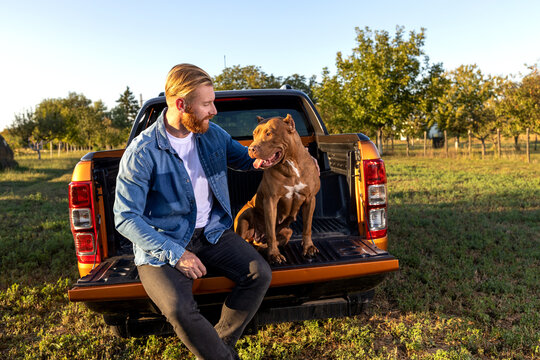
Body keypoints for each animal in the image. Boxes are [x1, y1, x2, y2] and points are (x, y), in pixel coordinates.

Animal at [233, 114, 318, 262]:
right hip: (245, 214)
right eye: (254, 134)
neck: (290, 164)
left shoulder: (310, 199)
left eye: (269, 133)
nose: (251, 149)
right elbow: (271, 231)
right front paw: (274, 254)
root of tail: (257, 238)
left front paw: (308, 248)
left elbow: (307, 227)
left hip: (287, 231)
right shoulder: (270, 201)